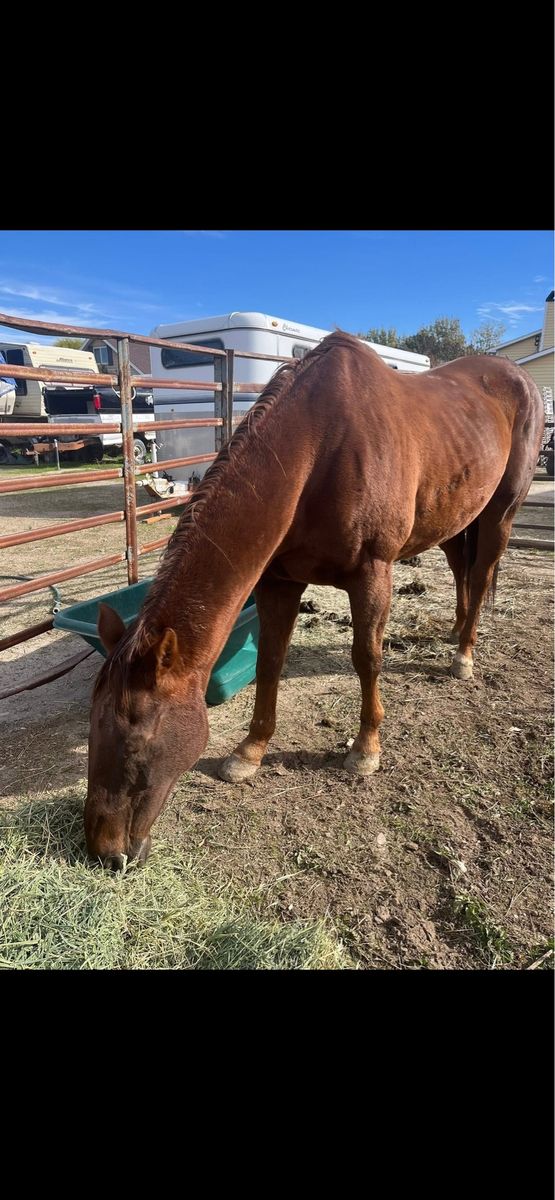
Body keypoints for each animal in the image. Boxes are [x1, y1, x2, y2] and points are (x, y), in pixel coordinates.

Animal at [85, 331, 544, 868]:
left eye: (137, 744)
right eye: (91, 728)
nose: (103, 851)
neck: (319, 448)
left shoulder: (373, 574)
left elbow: (367, 658)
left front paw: (365, 750)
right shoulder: (278, 583)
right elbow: (269, 662)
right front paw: (249, 751)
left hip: (499, 513)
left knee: (483, 570)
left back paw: (464, 654)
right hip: (455, 516)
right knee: (461, 571)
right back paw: (453, 632)